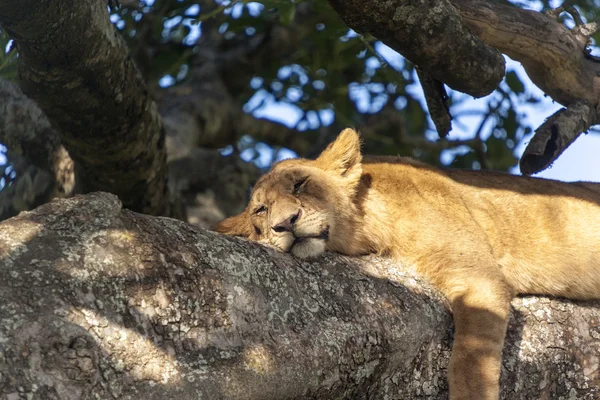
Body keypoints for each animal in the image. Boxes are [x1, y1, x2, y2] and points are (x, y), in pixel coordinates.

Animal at [212, 129, 600, 400]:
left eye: (300, 184)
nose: (285, 224)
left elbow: (469, 361)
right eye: (261, 210)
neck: (369, 225)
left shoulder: (479, 277)